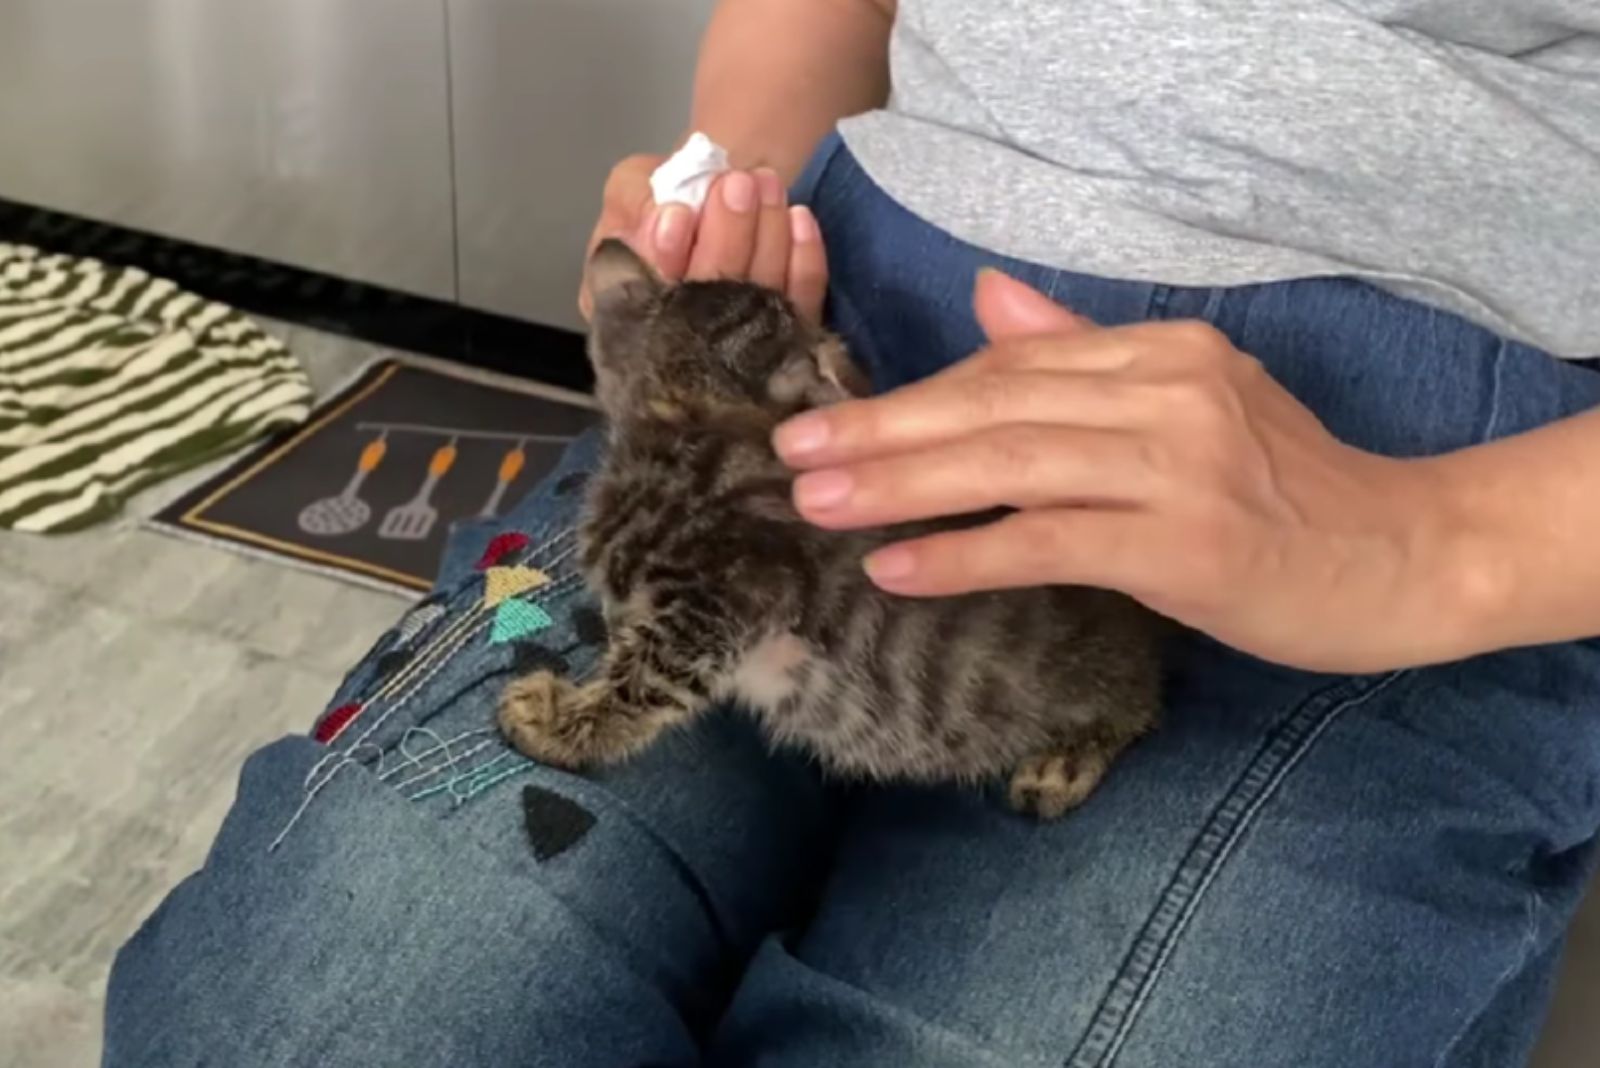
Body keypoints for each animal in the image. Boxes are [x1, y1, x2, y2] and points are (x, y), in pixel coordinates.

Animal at [499, 241, 1164, 818]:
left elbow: (643, 685)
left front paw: (559, 724)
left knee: (1136, 706)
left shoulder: (728, 598)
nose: (815, 322)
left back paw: (1063, 765)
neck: (680, 432)